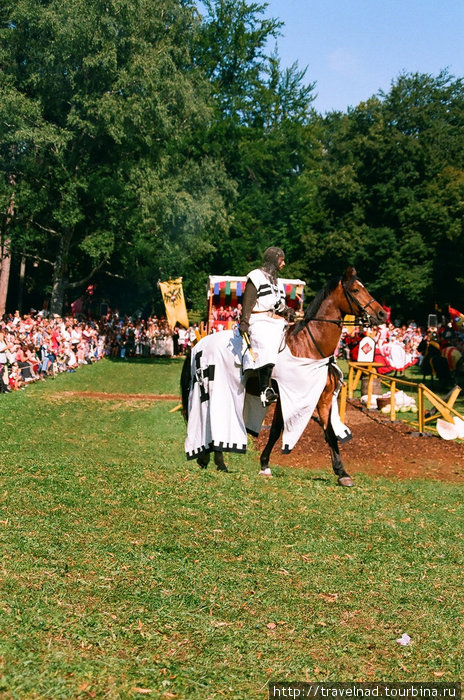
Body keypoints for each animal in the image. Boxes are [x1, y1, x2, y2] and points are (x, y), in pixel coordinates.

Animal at [181, 266, 388, 486]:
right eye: (356, 290)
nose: (382, 314)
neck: (309, 347)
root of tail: (199, 345)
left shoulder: (322, 399)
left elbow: (330, 433)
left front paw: (342, 473)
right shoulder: (285, 396)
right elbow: (275, 430)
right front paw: (264, 464)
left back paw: (213, 460)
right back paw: (211, 459)